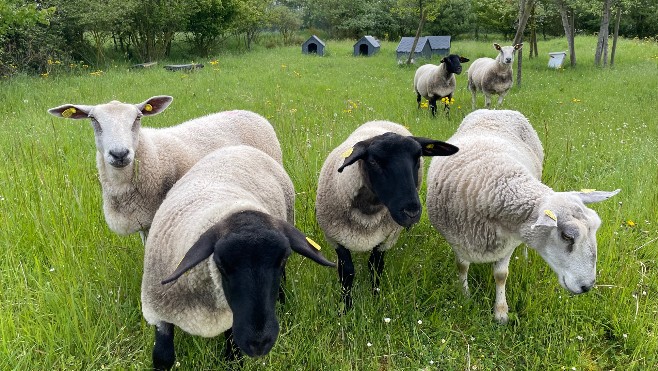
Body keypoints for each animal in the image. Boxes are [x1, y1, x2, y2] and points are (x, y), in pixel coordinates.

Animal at [139, 145, 334, 370]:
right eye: (221, 265)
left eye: (282, 259)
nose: (259, 343)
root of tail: (240, 147)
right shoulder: (159, 311)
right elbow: (162, 356)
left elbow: (233, 353)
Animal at [314, 121, 456, 310]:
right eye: (373, 161)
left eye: (418, 158)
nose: (412, 212)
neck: (367, 213)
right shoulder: (335, 238)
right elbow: (347, 271)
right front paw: (346, 307)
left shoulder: (386, 238)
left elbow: (375, 267)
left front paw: (375, 298)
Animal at [422, 109, 616, 324]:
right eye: (567, 236)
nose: (587, 286)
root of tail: (496, 111)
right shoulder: (457, 240)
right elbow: (462, 266)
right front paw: (465, 296)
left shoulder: (508, 242)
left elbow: (501, 275)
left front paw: (500, 312)